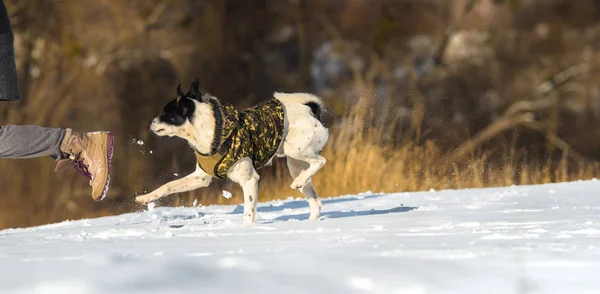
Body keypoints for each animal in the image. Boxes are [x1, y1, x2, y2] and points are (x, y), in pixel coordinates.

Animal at [135, 78, 328, 225]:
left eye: (166, 114)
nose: (150, 122)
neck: (213, 131)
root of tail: (311, 110)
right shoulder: (200, 178)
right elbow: (168, 185)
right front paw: (146, 197)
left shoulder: (250, 180)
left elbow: (248, 212)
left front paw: (246, 230)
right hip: (295, 164)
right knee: (315, 201)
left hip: (295, 149)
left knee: (320, 161)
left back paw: (299, 182)